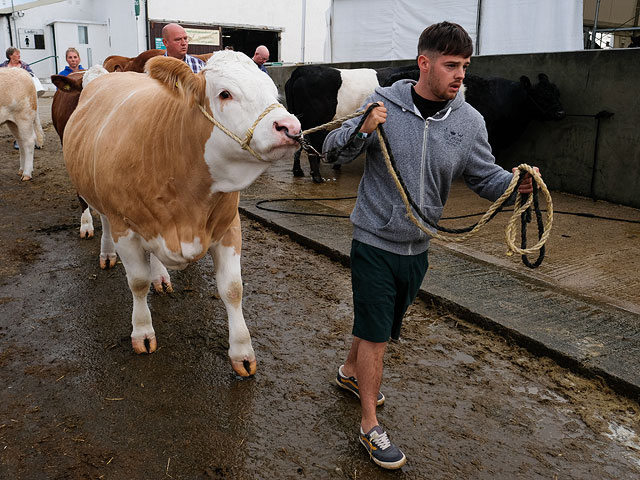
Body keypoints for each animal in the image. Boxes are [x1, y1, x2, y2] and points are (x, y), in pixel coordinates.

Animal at [62, 51, 300, 376]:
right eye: (225, 93)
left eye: (272, 91)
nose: (291, 128)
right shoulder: (126, 228)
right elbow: (137, 282)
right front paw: (142, 331)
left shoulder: (229, 227)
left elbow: (232, 289)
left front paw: (242, 352)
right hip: (99, 199)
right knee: (105, 223)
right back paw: (108, 253)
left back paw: (160, 276)